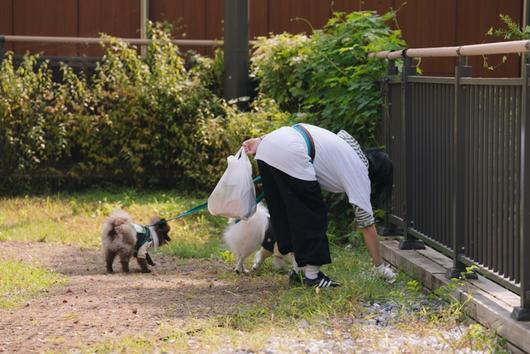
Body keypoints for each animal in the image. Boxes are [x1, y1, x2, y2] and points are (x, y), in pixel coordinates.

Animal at [241, 124, 394, 288]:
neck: (362, 157)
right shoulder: (358, 179)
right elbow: (366, 222)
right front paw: (382, 270)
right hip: (298, 179)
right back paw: (315, 279)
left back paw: (293, 273)